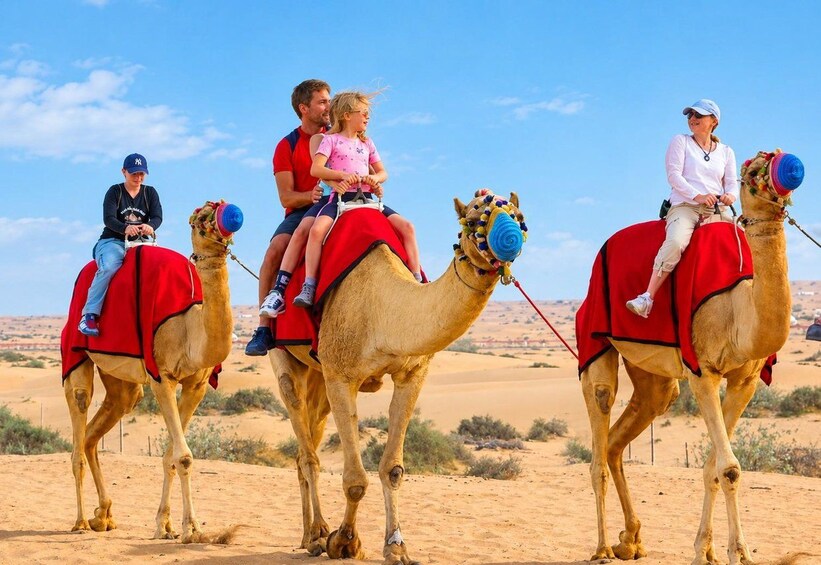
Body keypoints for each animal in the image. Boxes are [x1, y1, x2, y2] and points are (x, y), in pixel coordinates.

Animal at [62, 200, 242, 543]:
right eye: (200, 218)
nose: (230, 216)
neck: (188, 325)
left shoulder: (197, 384)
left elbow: (171, 456)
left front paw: (165, 525)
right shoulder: (162, 377)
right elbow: (183, 456)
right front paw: (192, 529)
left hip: (122, 382)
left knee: (95, 432)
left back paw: (103, 515)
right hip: (74, 355)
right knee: (78, 420)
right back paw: (79, 521)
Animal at [269, 190, 526, 565]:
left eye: (519, 216)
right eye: (473, 219)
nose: (511, 239)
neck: (383, 310)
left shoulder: (412, 373)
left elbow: (393, 469)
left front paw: (396, 546)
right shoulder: (340, 376)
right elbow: (355, 480)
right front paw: (344, 542)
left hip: (317, 373)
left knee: (307, 446)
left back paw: (308, 534)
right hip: (286, 357)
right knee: (306, 448)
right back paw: (316, 535)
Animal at [579, 150, 804, 565]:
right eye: (752, 170)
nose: (789, 170)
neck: (738, 307)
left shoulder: (745, 380)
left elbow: (713, 467)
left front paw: (708, 550)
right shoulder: (703, 372)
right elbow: (729, 468)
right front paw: (739, 552)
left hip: (653, 376)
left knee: (622, 437)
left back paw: (630, 540)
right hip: (594, 340)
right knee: (599, 433)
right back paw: (602, 548)